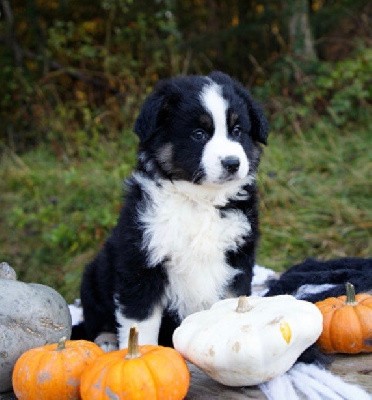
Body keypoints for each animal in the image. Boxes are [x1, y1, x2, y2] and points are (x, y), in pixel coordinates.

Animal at [80, 71, 268, 346]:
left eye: (237, 130)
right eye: (198, 134)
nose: (232, 163)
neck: (200, 200)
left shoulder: (238, 259)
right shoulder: (141, 263)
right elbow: (141, 321)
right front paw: (139, 353)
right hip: (94, 276)